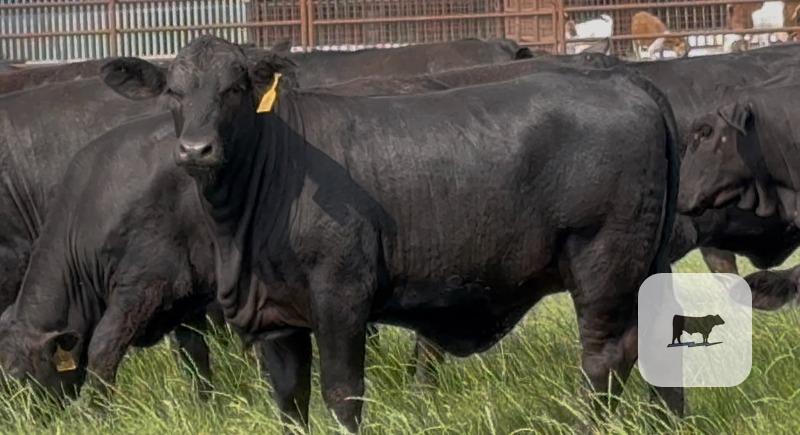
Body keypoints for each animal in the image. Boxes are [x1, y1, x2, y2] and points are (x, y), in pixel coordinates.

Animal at [102, 36, 680, 431]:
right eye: (173, 92)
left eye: (235, 89)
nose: (195, 149)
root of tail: (623, 81)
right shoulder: (277, 318)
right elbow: (290, 401)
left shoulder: (341, 295)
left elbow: (342, 394)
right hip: (647, 262)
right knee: (656, 342)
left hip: (602, 259)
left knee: (605, 357)